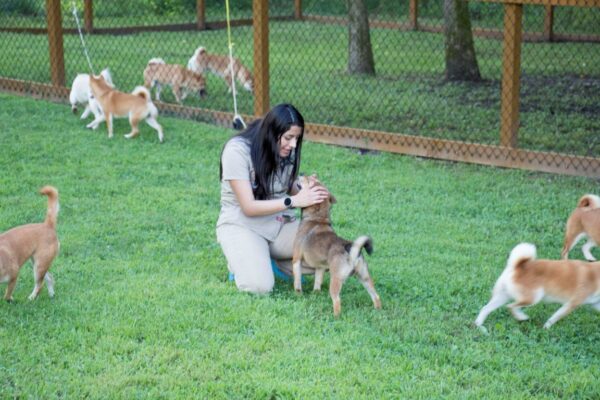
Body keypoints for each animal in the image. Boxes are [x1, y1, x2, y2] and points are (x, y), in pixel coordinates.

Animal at [292, 175, 382, 316]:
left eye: (309, 180)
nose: (301, 173)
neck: (317, 218)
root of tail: (352, 252)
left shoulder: (296, 260)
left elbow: (297, 281)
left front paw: (298, 294)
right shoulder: (320, 267)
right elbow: (317, 281)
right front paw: (315, 293)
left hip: (336, 280)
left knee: (337, 300)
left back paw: (335, 316)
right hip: (365, 277)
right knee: (376, 296)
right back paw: (378, 310)